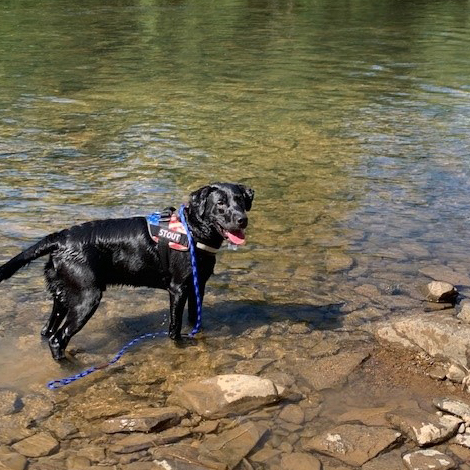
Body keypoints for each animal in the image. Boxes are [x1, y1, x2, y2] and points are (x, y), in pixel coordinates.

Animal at [0, 184, 253, 360]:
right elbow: (175, 326)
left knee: (47, 330)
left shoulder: (196, 285)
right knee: (57, 339)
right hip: (87, 298)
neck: (192, 230)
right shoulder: (178, 289)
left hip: (62, 295)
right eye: (220, 203)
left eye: (241, 201)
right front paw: (179, 343)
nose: (243, 219)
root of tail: (60, 238)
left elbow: (194, 316)